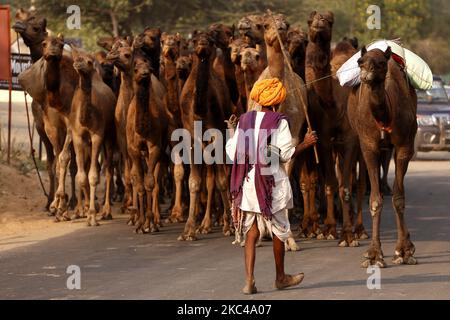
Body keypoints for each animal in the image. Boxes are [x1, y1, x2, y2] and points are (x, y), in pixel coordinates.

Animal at [68, 45, 117, 225]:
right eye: (76, 57)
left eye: (89, 61)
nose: (78, 62)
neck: (86, 119)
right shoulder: (78, 137)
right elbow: (82, 176)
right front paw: (88, 212)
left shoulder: (97, 136)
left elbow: (94, 176)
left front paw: (93, 216)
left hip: (110, 136)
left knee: (109, 168)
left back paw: (106, 211)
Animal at [177, 30, 232, 240]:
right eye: (194, 40)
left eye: (210, 40)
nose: (201, 45)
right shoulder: (190, 138)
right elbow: (194, 182)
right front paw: (188, 231)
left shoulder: (218, 134)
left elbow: (223, 180)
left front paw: (229, 226)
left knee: (220, 175)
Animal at [348, 47, 418, 268]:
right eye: (360, 61)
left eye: (380, 63)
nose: (365, 75)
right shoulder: (369, 147)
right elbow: (375, 200)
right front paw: (374, 255)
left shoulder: (405, 147)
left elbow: (399, 198)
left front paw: (403, 251)